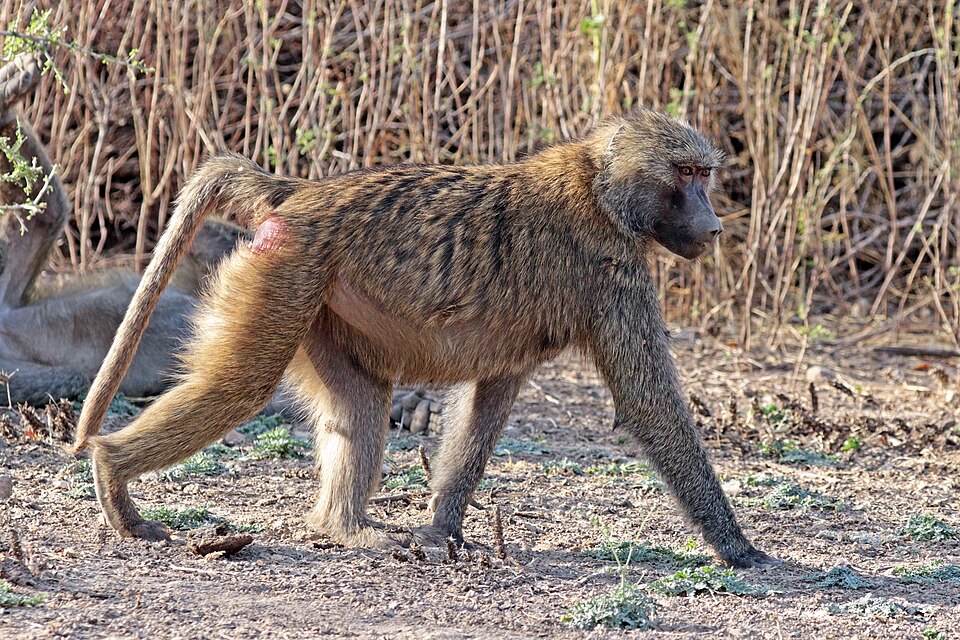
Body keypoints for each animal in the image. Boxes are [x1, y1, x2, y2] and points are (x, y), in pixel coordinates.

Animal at [73, 107, 778, 568]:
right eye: (686, 175)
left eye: (705, 175)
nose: (714, 227)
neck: (597, 183)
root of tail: (299, 192)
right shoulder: (613, 268)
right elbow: (649, 405)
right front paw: (741, 549)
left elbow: (486, 405)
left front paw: (443, 528)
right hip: (285, 272)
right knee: (240, 387)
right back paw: (113, 479)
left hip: (316, 300)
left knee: (360, 401)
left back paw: (347, 530)